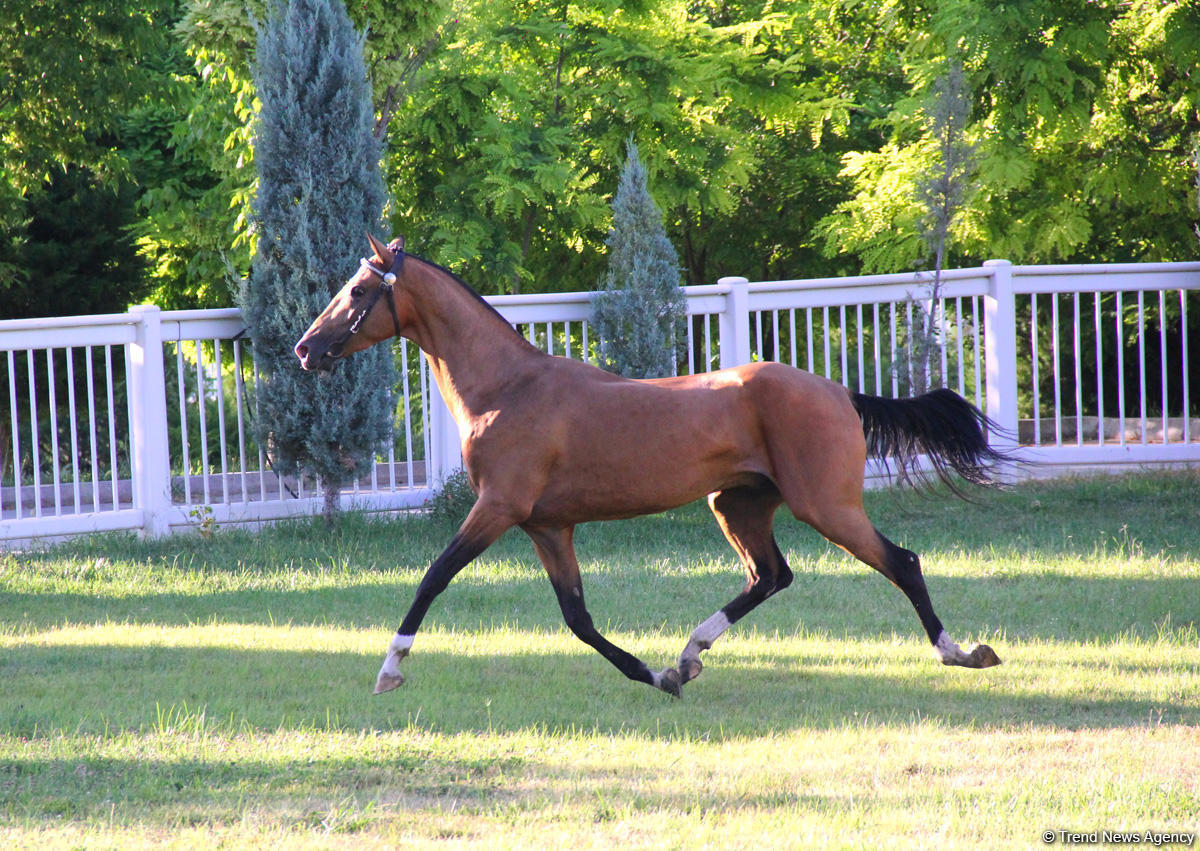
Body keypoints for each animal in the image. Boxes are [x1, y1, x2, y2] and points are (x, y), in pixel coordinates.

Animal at [292, 234, 1003, 696]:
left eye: (359, 289)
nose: (306, 349)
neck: (507, 389)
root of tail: (839, 393)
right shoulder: (547, 526)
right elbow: (577, 617)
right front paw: (655, 675)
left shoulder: (497, 508)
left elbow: (433, 577)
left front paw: (390, 669)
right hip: (737, 504)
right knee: (770, 576)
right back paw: (687, 657)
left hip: (826, 506)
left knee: (901, 562)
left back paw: (961, 653)